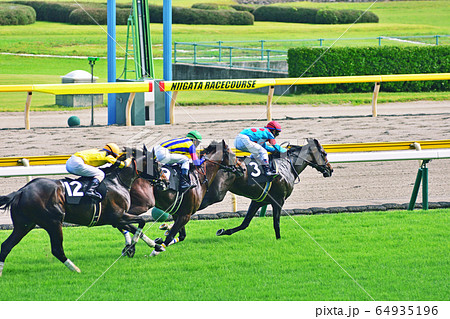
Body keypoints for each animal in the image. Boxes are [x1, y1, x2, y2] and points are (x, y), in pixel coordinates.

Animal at [0, 154, 161, 276]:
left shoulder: (115, 219)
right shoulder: (118, 216)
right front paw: (132, 246)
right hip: (53, 222)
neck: (117, 182)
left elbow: (135, 228)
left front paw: (155, 246)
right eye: (157, 165)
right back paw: (76, 269)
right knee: (57, 249)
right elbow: (141, 222)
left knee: (6, 245)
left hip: (25, 224)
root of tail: (21, 191)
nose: (163, 181)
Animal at [200, 138, 334, 240]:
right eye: (324, 153)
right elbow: (276, 223)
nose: (330, 169)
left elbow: (245, 223)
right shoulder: (279, 200)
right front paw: (279, 239)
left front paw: (223, 231)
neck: (287, 165)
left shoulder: (258, 200)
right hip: (215, 194)